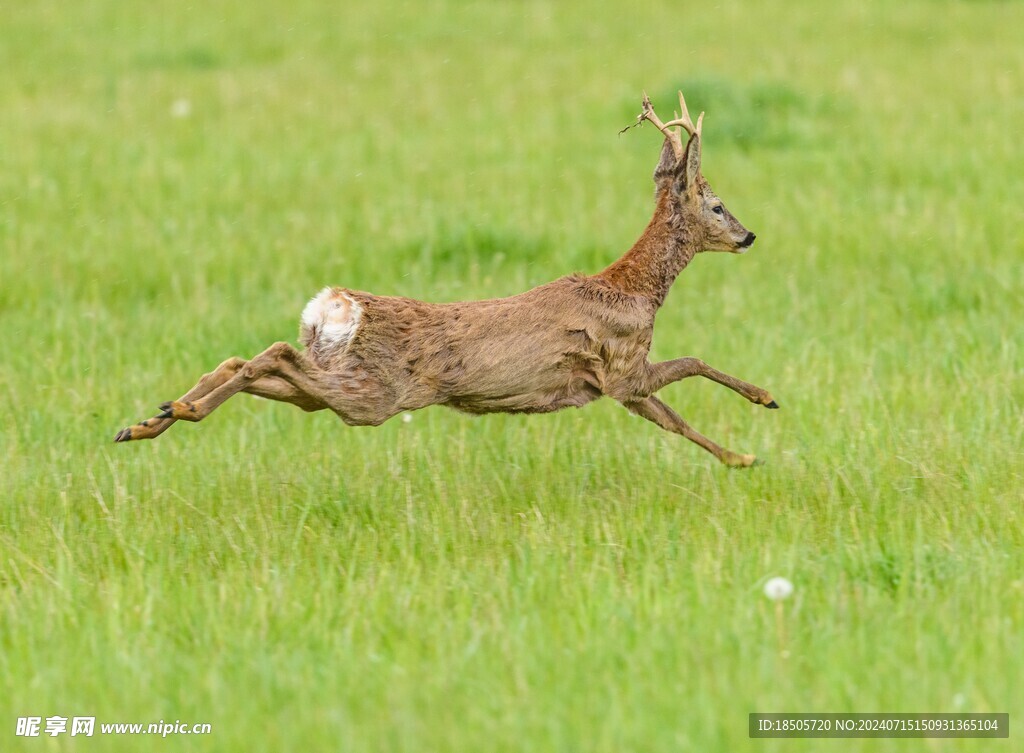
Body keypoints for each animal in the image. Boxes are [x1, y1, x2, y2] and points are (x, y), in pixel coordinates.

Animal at [114, 88, 774, 465]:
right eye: (718, 205)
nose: (748, 236)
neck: (633, 289)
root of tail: (334, 306)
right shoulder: (621, 369)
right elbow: (690, 371)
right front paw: (757, 423)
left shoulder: (615, 382)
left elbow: (678, 403)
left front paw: (746, 445)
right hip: (372, 393)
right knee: (272, 356)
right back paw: (173, 413)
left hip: (338, 385)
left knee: (255, 364)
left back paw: (153, 417)